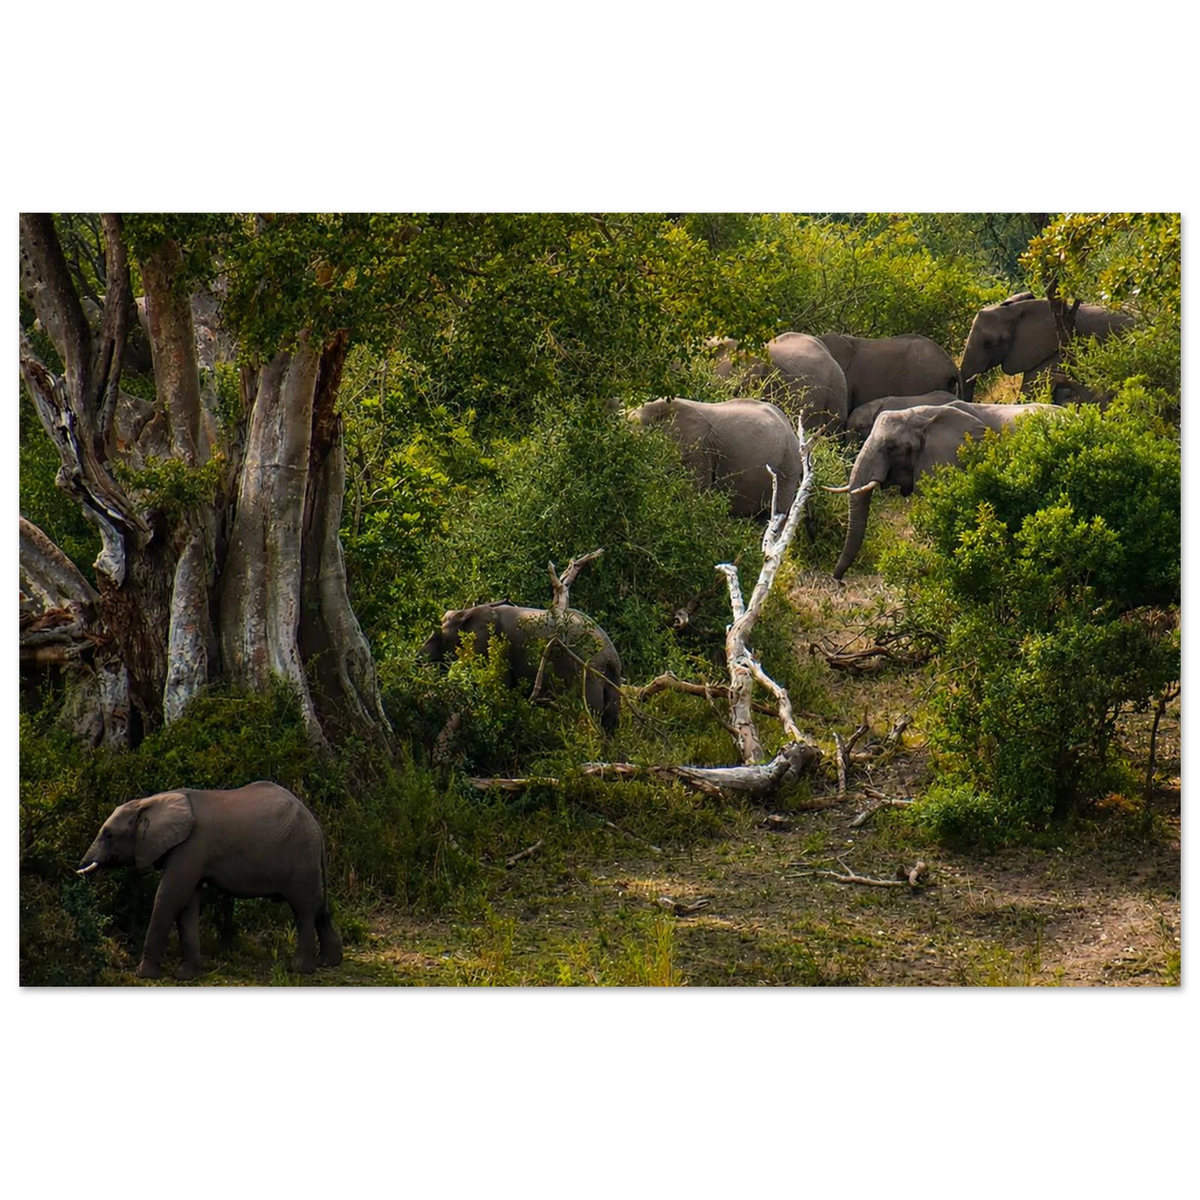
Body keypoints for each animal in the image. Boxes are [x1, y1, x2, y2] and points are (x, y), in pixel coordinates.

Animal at [77, 782, 343, 981]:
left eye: (108, 834)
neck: (150, 802)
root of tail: (315, 823)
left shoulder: (191, 846)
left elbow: (170, 896)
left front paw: (143, 975)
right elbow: (188, 904)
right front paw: (186, 976)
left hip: (301, 854)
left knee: (303, 910)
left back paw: (299, 968)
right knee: (319, 906)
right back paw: (329, 962)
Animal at [420, 602, 623, 734]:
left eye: (439, 638)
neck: (468, 611)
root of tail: (611, 655)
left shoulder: (500, 647)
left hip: (587, 671)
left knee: (589, 714)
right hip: (611, 677)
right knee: (610, 718)